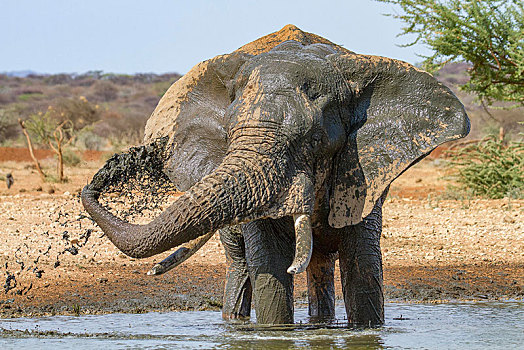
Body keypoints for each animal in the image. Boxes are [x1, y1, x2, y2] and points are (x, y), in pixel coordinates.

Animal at [83, 24, 470, 326]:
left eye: (313, 141)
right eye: (228, 137)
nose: (97, 182)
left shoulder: (365, 171)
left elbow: (362, 263)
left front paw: (366, 330)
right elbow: (268, 263)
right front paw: (274, 330)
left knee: (319, 264)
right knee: (241, 264)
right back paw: (234, 322)